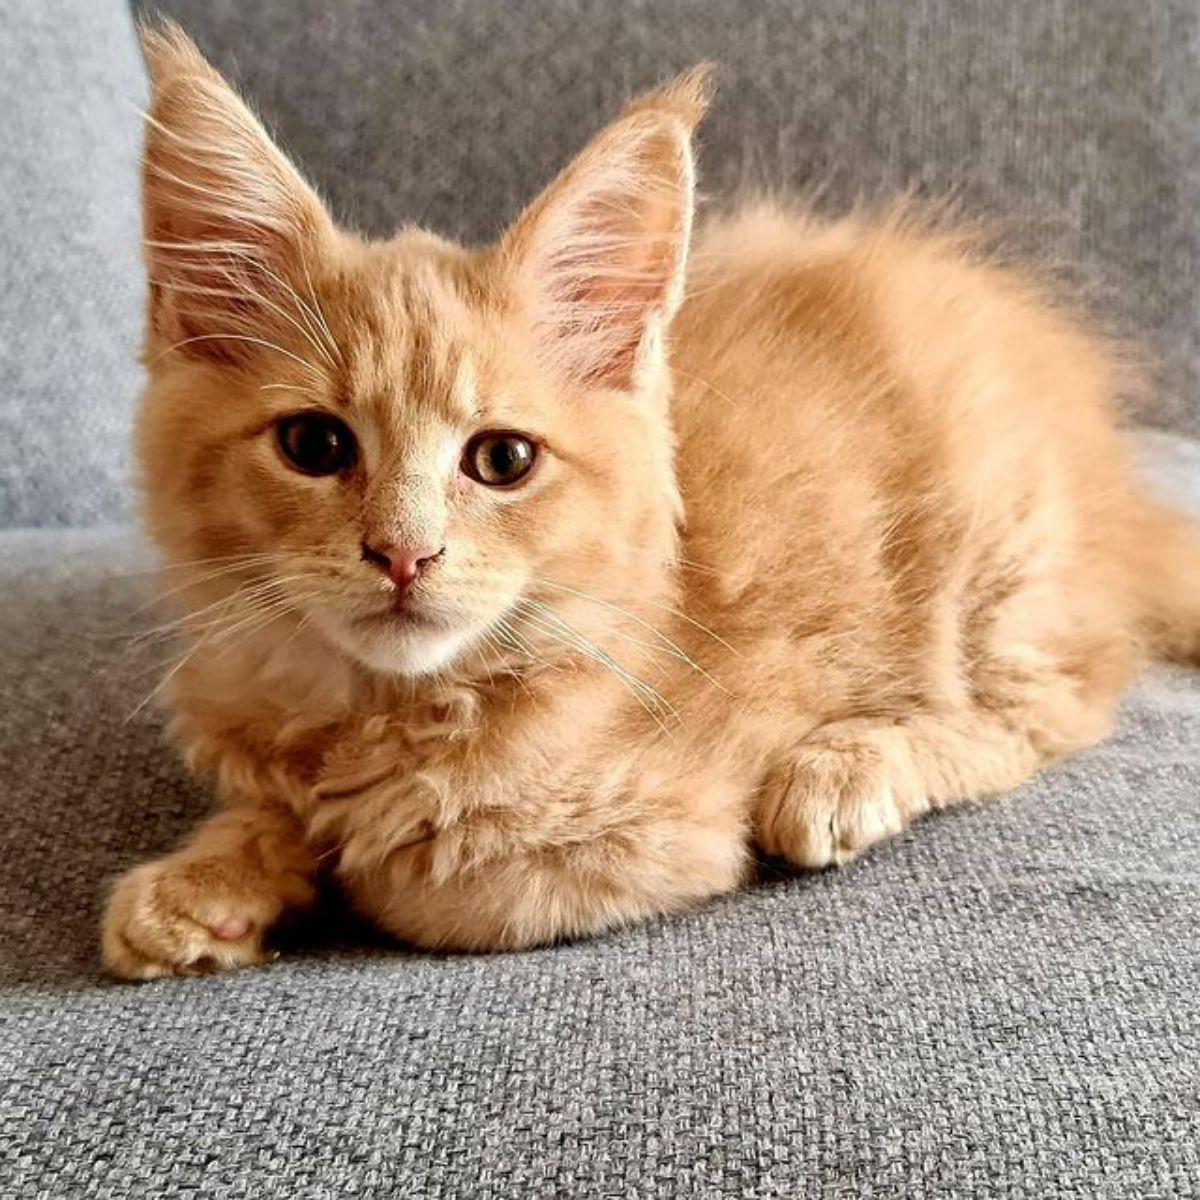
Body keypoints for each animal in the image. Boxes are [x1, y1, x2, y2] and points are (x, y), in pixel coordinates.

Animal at [103, 28, 1200, 979]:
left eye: (502, 459)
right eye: (314, 445)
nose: (403, 554)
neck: (392, 704)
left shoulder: (662, 827)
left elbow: (428, 875)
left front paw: (348, 853)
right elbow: (269, 802)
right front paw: (210, 877)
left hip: (996, 570)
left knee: (1058, 705)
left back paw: (845, 770)